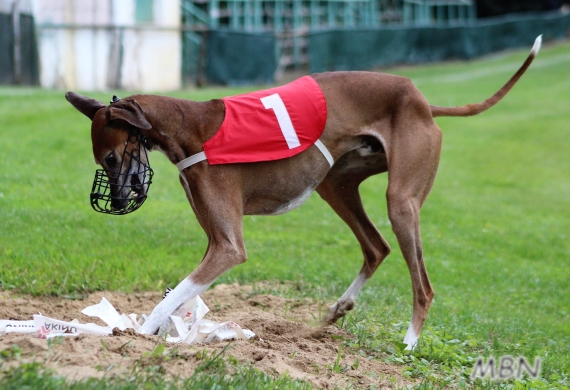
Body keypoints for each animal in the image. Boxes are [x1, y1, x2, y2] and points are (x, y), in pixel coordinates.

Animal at [64, 35, 540, 348]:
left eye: (110, 159)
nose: (116, 203)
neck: (191, 127)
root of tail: (422, 99)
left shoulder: (228, 247)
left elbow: (175, 295)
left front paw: (142, 331)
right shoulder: (214, 241)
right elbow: (183, 292)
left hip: (401, 202)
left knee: (422, 284)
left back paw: (408, 343)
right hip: (337, 185)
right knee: (376, 247)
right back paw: (338, 310)